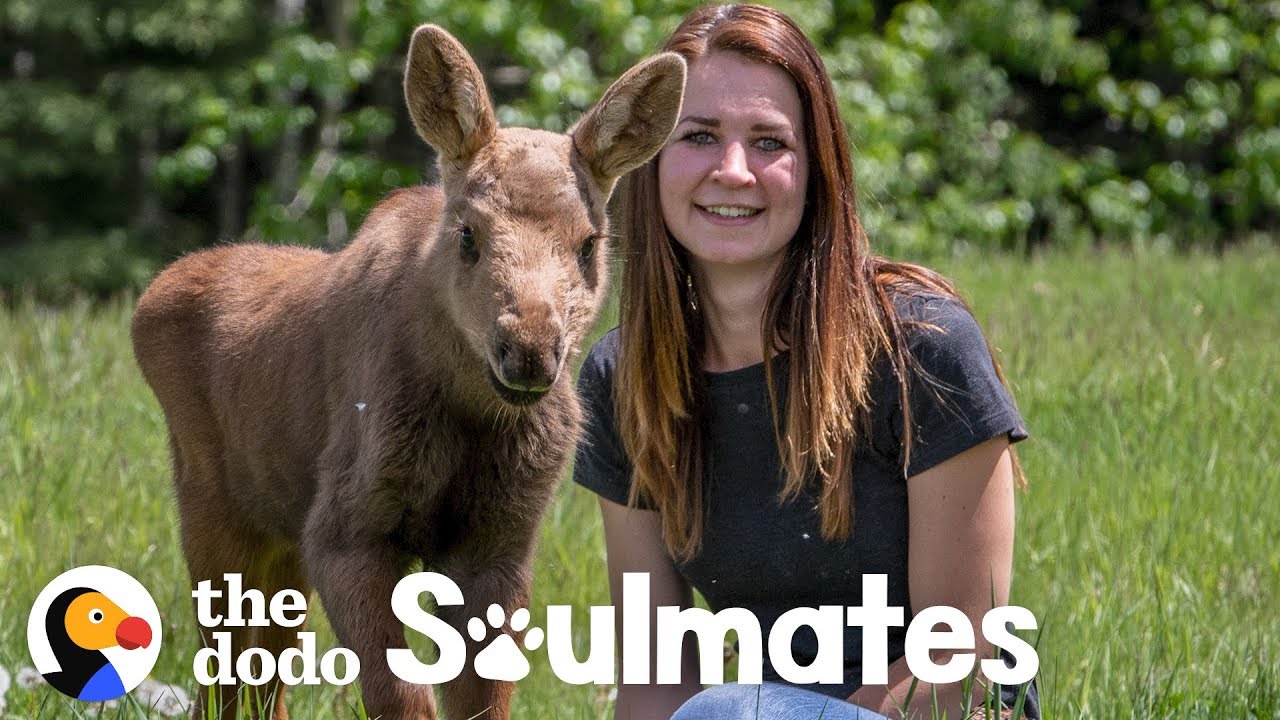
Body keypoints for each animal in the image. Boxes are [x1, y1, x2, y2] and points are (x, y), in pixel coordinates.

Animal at [131, 24, 684, 720]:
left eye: (589, 243)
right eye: (468, 233)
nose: (529, 350)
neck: (470, 413)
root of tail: (146, 301)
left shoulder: (500, 539)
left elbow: (482, 696)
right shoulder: (345, 526)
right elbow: (401, 693)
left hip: (277, 531)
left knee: (263, 672)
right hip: (213, 509)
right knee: (226, 670)